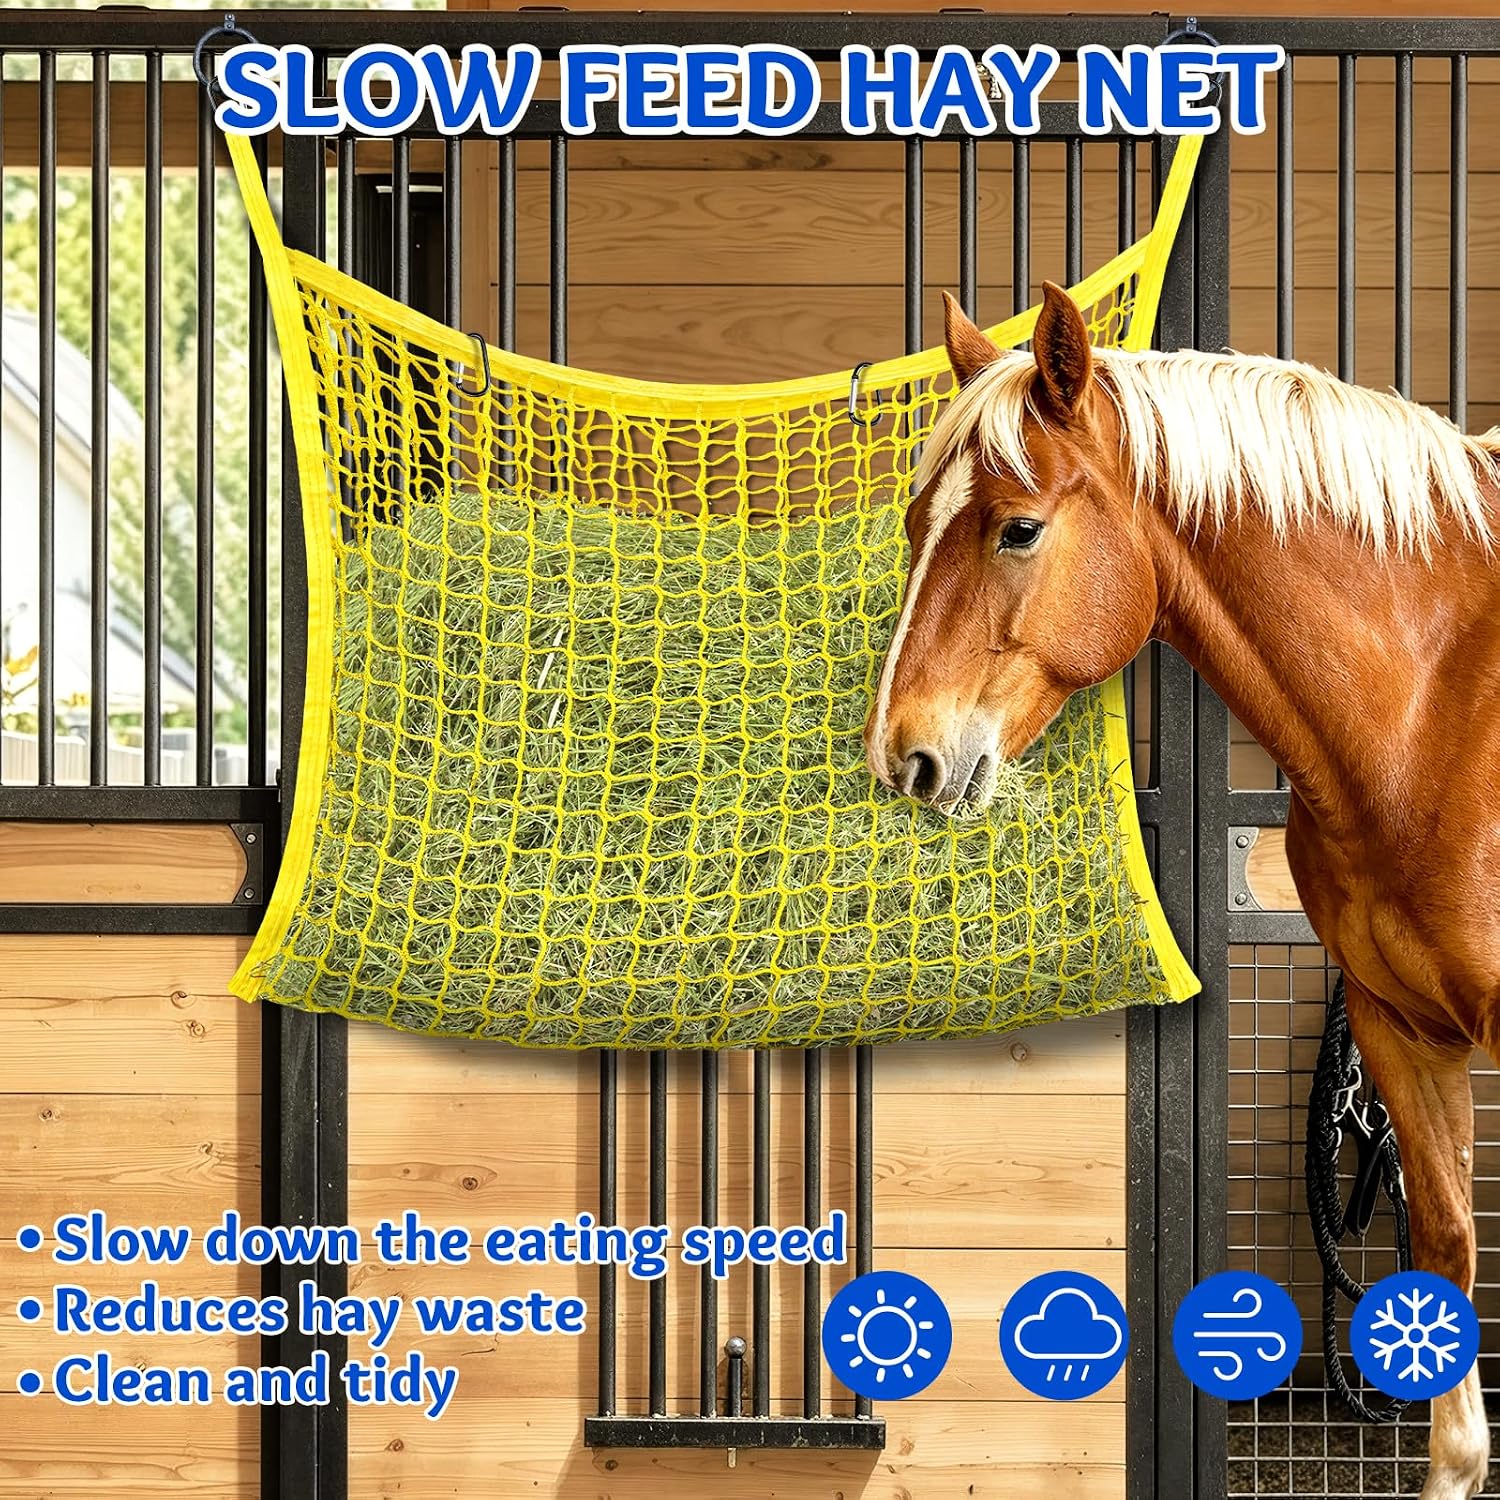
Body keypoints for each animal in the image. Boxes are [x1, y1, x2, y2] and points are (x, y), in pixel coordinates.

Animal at [866, 282, 1500, 1500]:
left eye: (1018, 526)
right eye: (918, 523)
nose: (899, 755)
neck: (1446, 706)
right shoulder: (1402, 1034)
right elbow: (1445, 1259)